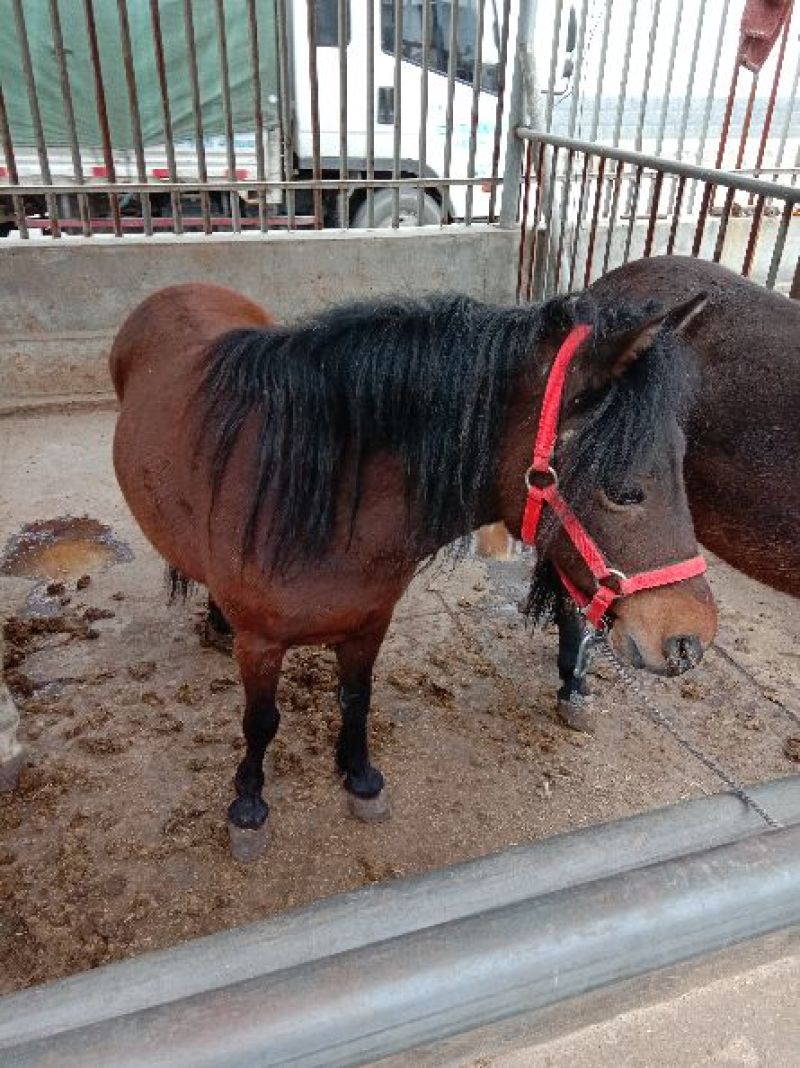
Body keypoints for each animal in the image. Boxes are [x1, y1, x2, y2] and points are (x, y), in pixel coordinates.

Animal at [110, 282, 717, 860]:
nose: (690, 640)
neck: (320, 502)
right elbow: (260, 723)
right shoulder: (260, 644)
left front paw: (360, 779)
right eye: (624, 491)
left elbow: (356, 700)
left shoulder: (369, 624)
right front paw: (248, 809)